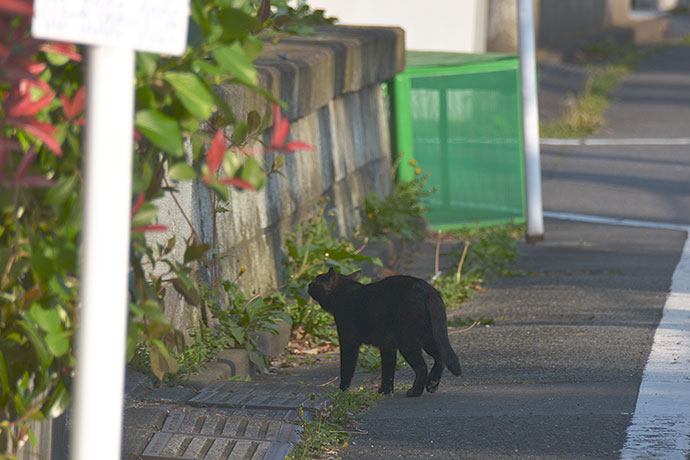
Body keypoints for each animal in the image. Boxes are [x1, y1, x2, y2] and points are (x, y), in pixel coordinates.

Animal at [306, 268, 456, 398]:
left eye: (316, 280)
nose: (308, 284)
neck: (345, 295)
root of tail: (428, 290)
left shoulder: (348, 341)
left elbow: (347, 366)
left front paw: (342, 389)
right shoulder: (387, 346)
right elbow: (388, 370)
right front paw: (386, 391)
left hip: (408, 342)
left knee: (422, 367)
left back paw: (415, 392)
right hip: (430, 338)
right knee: (441, 357)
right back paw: (432, 385)